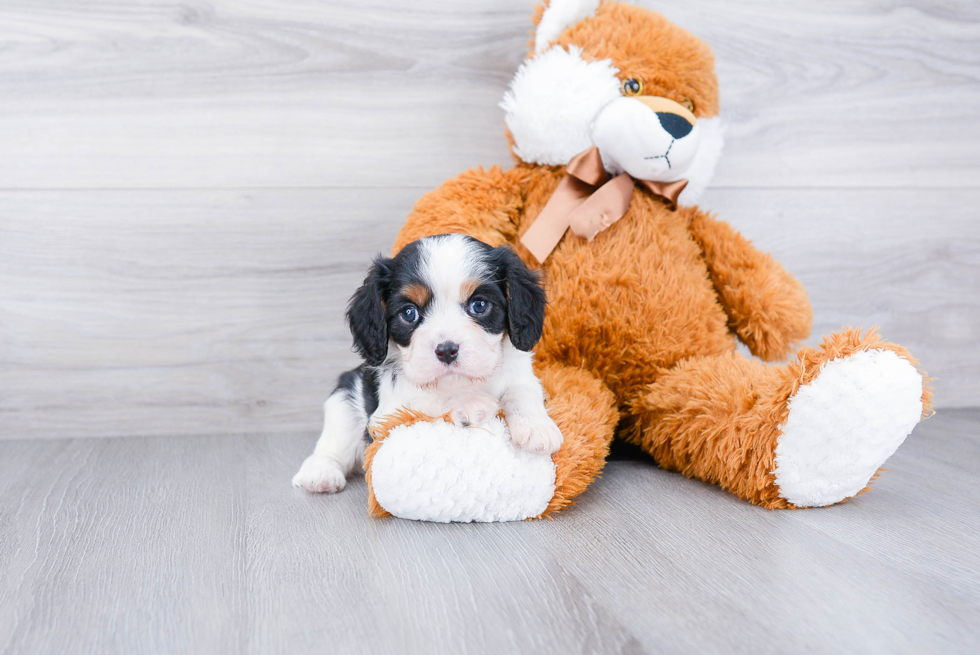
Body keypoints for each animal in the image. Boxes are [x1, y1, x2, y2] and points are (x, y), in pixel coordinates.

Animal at [290, 233, 564, 494]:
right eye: (409, 313)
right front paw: (472, 403)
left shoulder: (520, 373)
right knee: (331, 448)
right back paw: (320, 473)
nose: (446, 350)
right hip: (344, 402)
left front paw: (537, 427)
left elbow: (522, 391)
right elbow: (427, 400)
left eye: (479, 305)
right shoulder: (387, 415)